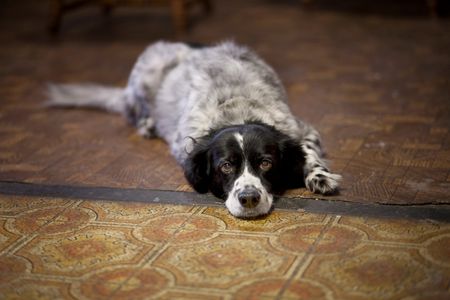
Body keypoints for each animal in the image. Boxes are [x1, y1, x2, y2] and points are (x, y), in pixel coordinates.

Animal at [48, 40, 342, 218]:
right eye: (226, 166)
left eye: (266, 163)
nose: (248, 198)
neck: (239, 110)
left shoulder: (300, 128)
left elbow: (308, 152)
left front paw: (319, 176)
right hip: (146, 75)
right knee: (133, 111)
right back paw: (148, 123)